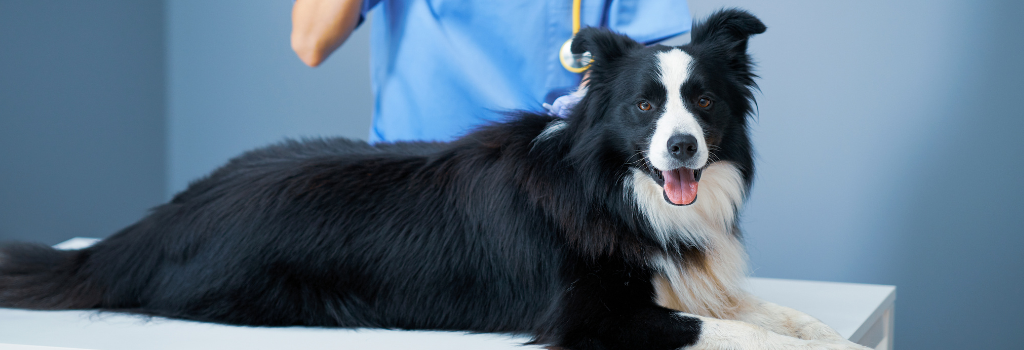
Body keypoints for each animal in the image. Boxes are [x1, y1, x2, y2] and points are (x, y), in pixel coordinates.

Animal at [2, 8, 872, 350]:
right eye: (644, 106)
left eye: (704, 101)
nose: (684, 149)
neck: (609, 188)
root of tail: (151, 225)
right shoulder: (589, 316)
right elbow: (734, 330)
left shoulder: (689, 280)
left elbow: (780, 314)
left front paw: (830, 338)